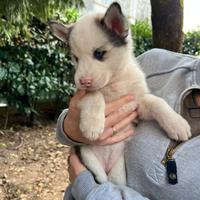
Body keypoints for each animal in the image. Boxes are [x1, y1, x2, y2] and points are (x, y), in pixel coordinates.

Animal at [49, 2, 191, 185]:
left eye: (99, 53)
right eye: (76, 58)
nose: (83, 81)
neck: (114, 82)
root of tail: (106, 165)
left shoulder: (136, 105)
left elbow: (156, 102)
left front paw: (177, 123)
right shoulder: (78, 96)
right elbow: (94, 95)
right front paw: (92, 125)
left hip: (118, 170)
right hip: (88, 159)